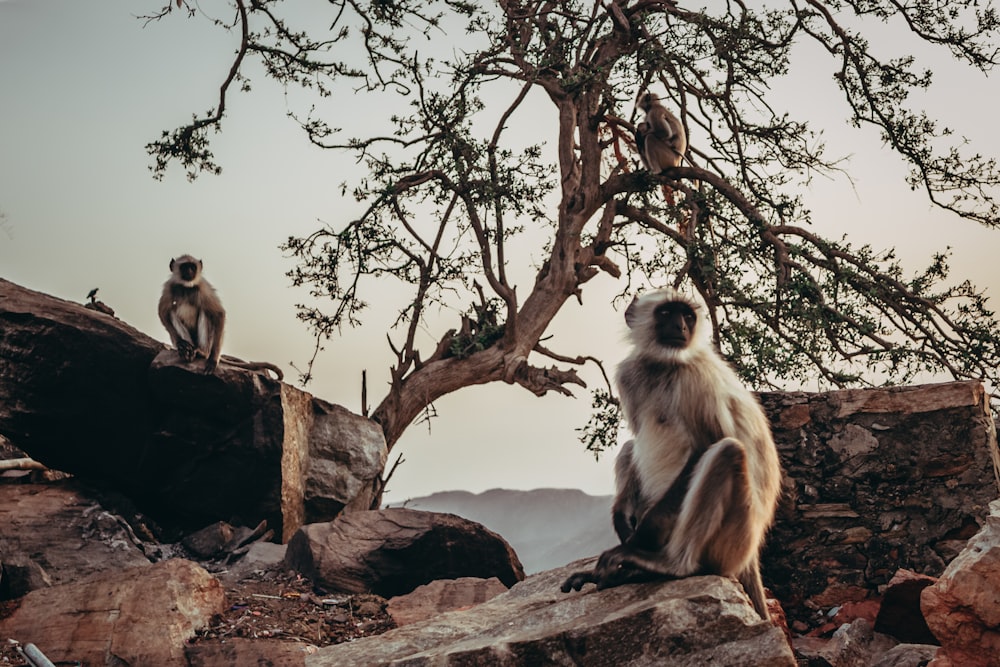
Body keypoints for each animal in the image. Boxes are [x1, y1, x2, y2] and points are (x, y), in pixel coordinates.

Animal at [158, 254, 286, 380]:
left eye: (192, 267)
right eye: (185, 267)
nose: (189, 272)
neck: (187, 287)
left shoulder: (204, 287)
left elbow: (219, 314)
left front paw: (213, 360)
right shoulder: (169, 286)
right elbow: (162, 312)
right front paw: (181, 343)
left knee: (205, 312)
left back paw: (202, 353)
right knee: (172, 312)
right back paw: (187, 351)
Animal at [564, 288, 780, 620]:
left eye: (687, 315)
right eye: (667, 313)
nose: (681, 327)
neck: (663, 365)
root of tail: (751, 555)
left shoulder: (696, 376)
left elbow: (709, 442)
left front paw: (641, 539)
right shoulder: (629, 374)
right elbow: (635, 440)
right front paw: (623, 523)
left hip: (734, 540)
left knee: (727, 451)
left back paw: (669, 565)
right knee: (630, 447)